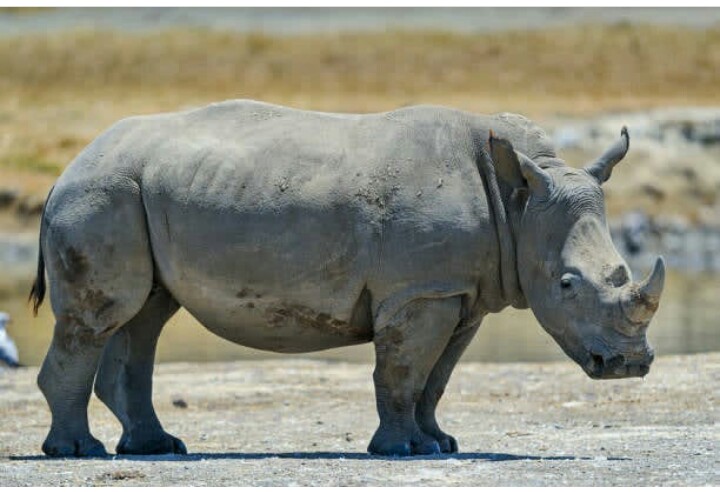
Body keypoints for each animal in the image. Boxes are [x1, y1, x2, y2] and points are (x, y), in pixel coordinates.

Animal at [29, 100, 664, 458]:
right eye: (567, 284)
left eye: (622, 272)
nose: (629, 366)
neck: (519, 205)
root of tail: (66, 169)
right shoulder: (419, 292)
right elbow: (404, 371)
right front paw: (402, 450)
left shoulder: (462, 293)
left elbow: (436, 379)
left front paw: (439, 443)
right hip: (102, 194)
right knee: (100, 318)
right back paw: (78, 452)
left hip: (134, 191)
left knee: (145, 315)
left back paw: (157, 448)